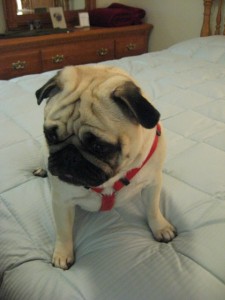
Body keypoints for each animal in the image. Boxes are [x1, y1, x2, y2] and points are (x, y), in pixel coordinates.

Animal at [34, 65, 176, 270]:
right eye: (50, 136)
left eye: (99, 147)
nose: (69, 156)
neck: (112, 179)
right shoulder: (61, 201)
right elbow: (64, 231)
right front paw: (62, 254)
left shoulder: (153, 184)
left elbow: (153, 209)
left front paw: (160, 227)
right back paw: (41, 169)